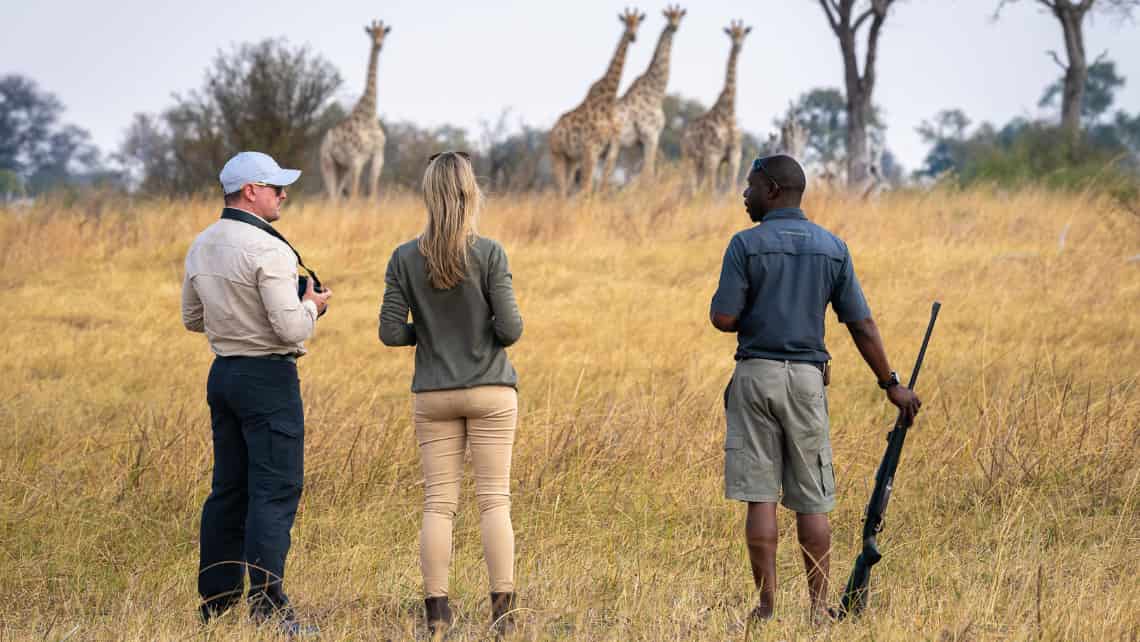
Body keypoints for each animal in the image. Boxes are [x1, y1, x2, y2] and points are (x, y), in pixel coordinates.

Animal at [321, 20, 392, 200]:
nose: (379, 45)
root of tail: (324, 141)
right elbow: (354, 193)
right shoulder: (356, 158)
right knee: (333, 195)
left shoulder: (378, 155)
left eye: (384, 33)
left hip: (342, 167)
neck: (369, 114)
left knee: (336, 196)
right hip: (328, 163)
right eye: (372, 34)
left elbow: (372, 191)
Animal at [547, 8, 647, 196]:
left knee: (566, 189)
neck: (607, 100)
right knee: (561, 190)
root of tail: (552, 133)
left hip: (572, 159)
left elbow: (600, 186)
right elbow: (587, 187)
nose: (633, 37)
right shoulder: (590, 150)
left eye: (638, 23)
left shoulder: (609, 151)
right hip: (558, 155)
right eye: (626, 22)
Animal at [606, 5, 684, 185]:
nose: (674, 26)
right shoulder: (651, 135)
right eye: (668, 16)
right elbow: (648, 171)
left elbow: (647, 171)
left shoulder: (642, 142)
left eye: (680, 16)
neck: (656, 92)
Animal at [679, 21, 752, 194]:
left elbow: (731, 188)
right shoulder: (713, 154)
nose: (738, 46)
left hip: (701, 162)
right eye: (732, 34)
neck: (728, 113)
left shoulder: (735, 155)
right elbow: (712, 188)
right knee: (690, 184)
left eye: (744, 34)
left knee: (697, 185)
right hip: (689, 157)